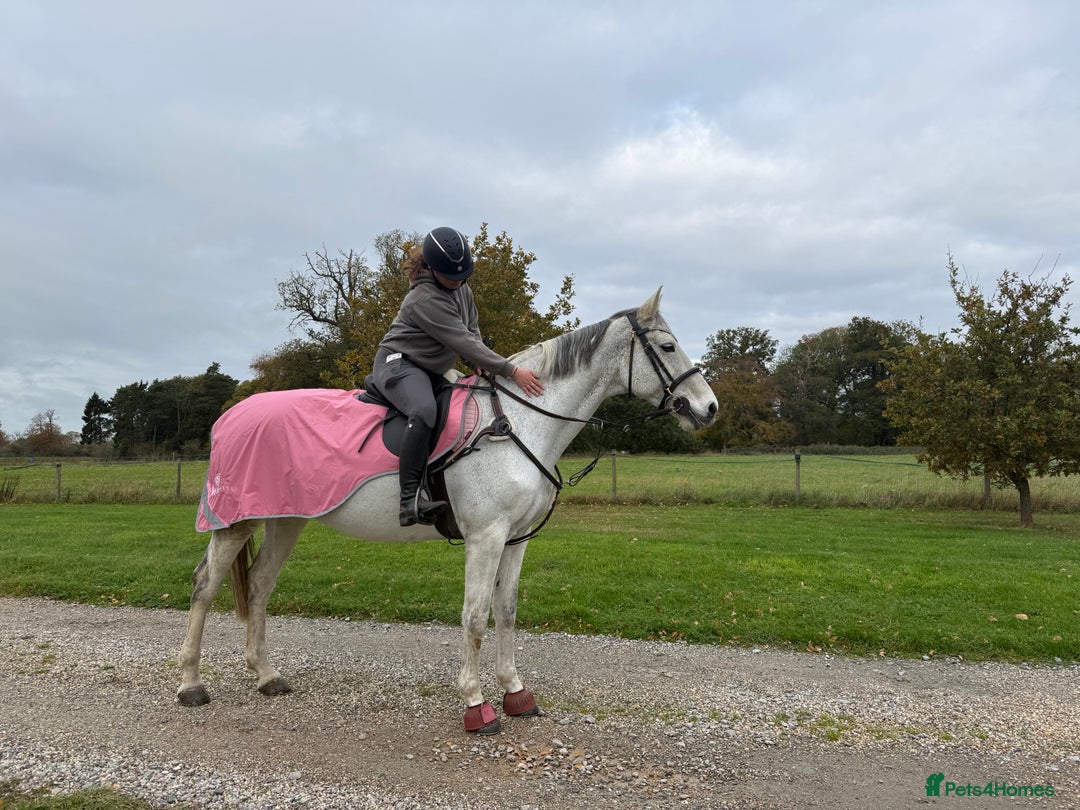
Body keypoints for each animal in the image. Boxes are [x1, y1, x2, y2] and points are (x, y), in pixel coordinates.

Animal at [176, 287, 718, 734]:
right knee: (205, 586)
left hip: (285, 521)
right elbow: (475, 617)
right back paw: (190, 684)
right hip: (235, 523)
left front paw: (515, 692)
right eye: (668, 347)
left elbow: (507, 611)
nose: (708, 407)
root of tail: (232, 415)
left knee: (260, 584)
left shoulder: (516, 539)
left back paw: (267, 676)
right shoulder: (486, 537)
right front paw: (476, 704)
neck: (517, 421)